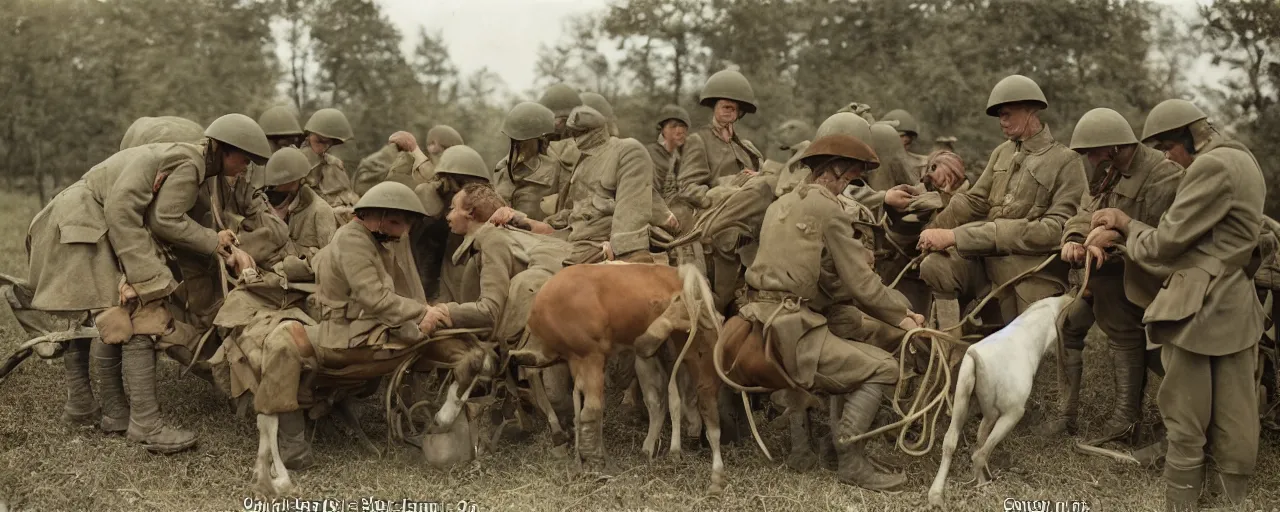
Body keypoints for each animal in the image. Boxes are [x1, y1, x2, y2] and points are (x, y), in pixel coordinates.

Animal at [926, 294, 1075, 506]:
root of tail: (978, 359)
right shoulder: (1009, 411)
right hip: (1009, 413)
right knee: (979, 453)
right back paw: (985, 487)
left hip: (963, 397)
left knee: (952, 442)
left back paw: (937, 494)